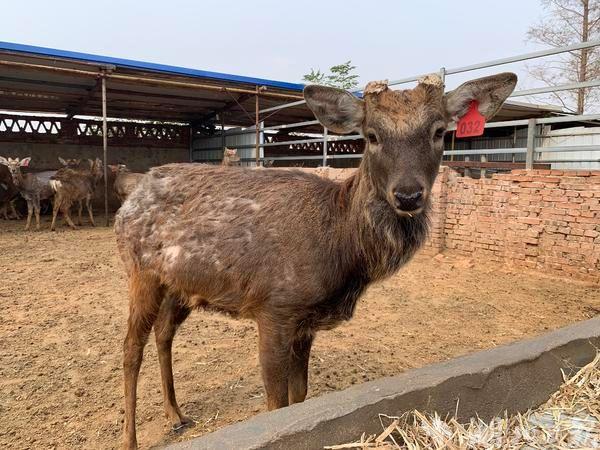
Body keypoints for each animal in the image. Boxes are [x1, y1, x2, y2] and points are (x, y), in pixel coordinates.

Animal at [115, 72, 516, 448]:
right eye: (372, 135)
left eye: (438, 132)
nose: (407, 194)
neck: (341, 252)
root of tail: (132, 194)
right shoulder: (274, 308)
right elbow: (276, 405)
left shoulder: (305, 322)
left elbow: (300, 397)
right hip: (139, 269)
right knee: (131, 347)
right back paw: (131, 439)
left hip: (179, 284)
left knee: (163, 333)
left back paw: (176, 414)